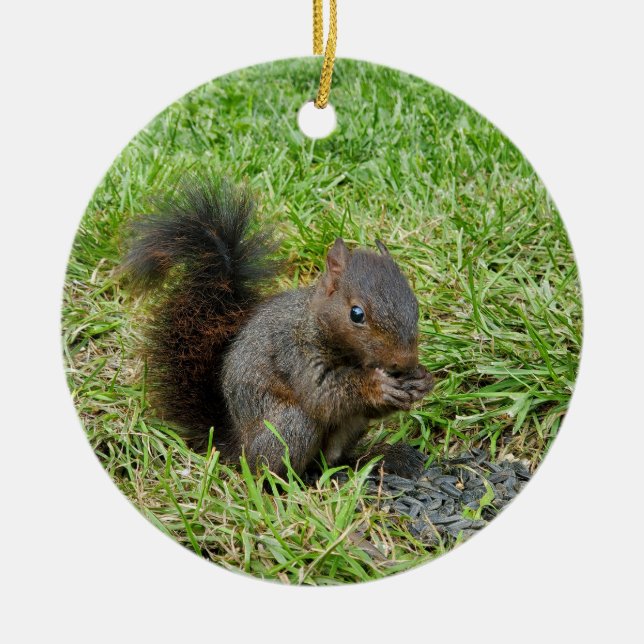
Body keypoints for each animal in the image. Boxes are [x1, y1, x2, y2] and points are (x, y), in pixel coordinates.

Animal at [121, 174, 434, 479]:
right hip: (289, 427)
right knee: (274, 467)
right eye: (356, 314)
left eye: (415, 306)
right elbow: (321, 395)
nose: (405, 362)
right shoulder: (294, 351)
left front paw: (422, 380)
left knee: (332, 459)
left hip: (346, 428)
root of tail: (239, 447)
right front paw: (377, 385)